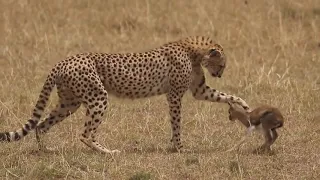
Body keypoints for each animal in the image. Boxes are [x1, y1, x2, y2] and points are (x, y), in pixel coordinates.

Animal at [0, 36, 250, 153]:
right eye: (223, 64)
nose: (220, 73)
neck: (193, 51)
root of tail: (63, 61)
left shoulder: (199, 90)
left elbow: (223, 95)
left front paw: (244, 104)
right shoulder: (174, 96)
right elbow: (176, 122)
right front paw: (178, 146)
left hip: (69, 103)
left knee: (41, 125)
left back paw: (46, 150)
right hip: (98, 97)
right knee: (85, 134)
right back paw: (107, 152)